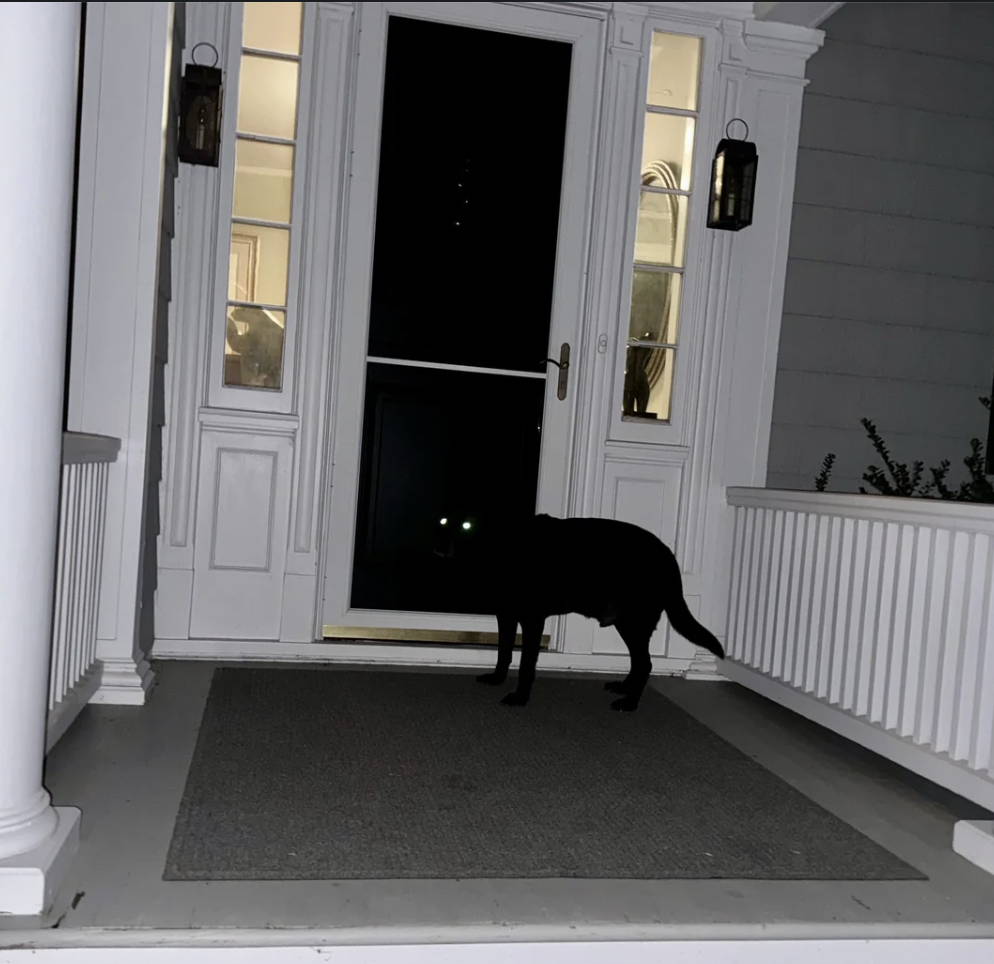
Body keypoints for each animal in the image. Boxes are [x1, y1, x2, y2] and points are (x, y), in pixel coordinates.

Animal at [472, 516, 720, 712]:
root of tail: (669, 557)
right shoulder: (506, 614)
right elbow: (504, 651)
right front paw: (497, 679)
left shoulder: (532, 620)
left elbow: (525, 665)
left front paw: (520, 697)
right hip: (627, 624)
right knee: (639, 662)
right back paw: (624, 688)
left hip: (634, 622)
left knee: (645, 664)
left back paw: (629, 703)